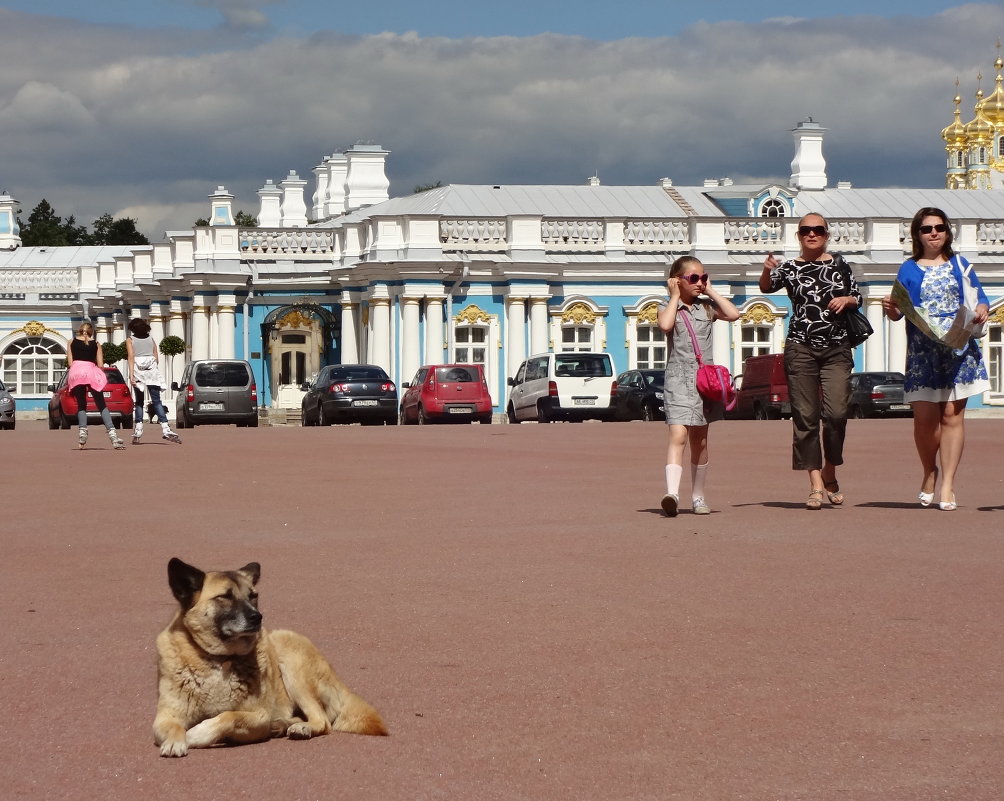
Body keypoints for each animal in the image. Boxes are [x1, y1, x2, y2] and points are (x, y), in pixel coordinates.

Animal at [152, 558, 387, 758]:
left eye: (253, 595)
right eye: (225, 597)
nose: (257, 617)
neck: (221, 659)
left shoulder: (259, 716)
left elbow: (229, 716)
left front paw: (196, 734)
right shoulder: (165, 717)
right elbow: (173, 727)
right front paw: (175, 741)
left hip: (290, 658)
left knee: (322, 721)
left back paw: (301, 727)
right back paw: (283, 724)